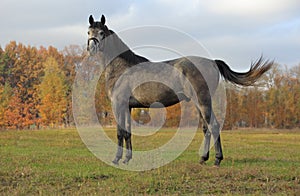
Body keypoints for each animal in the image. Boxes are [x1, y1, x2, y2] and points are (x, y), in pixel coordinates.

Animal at [87, 14, 274, 166]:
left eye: (101, 33)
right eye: (89, 32)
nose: (91, 49)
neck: (122, 67)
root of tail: (212, 61)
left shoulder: (118, 104)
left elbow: (120, 132)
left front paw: (116, 159)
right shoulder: (128, 106)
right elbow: (127, 132)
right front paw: (127, 158)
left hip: (203, 101)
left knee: (213, 125)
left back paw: (217, 160)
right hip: (200, 103)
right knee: (206, 128)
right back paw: (203, 159)